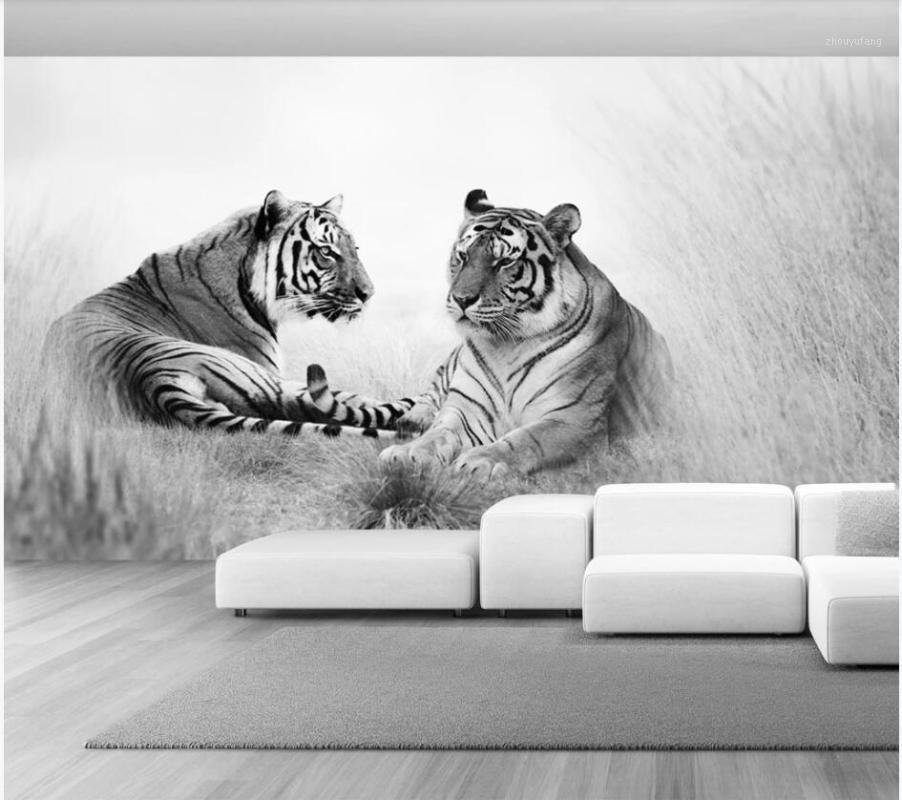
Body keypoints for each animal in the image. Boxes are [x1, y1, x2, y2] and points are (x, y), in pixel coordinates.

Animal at [380, 189, 674, 478]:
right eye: (463, 256)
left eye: (504, 262)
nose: (462, 299)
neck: (505, 344)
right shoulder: (467, 408)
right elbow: (440, 432)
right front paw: (408, 453)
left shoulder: (574, 417)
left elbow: (525, 439)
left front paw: (482, 460)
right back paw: (414, 420)